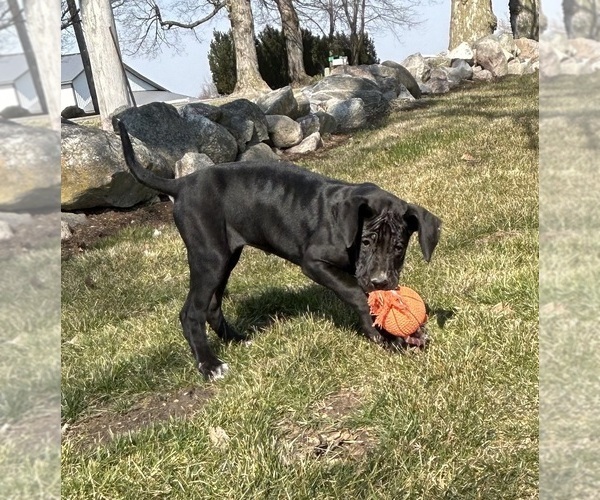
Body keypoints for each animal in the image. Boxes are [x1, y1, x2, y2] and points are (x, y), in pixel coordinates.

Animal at [117, 121, 442, 378]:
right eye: (366, 242)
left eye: (399, 246)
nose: (381, 281)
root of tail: (182, 184)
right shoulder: (314, 262)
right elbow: (355, 293)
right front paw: (383, 333)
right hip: (209, 257)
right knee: (191, 313)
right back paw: (209, 365)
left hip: (226, 257)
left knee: (211, 305)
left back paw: (236, 340)